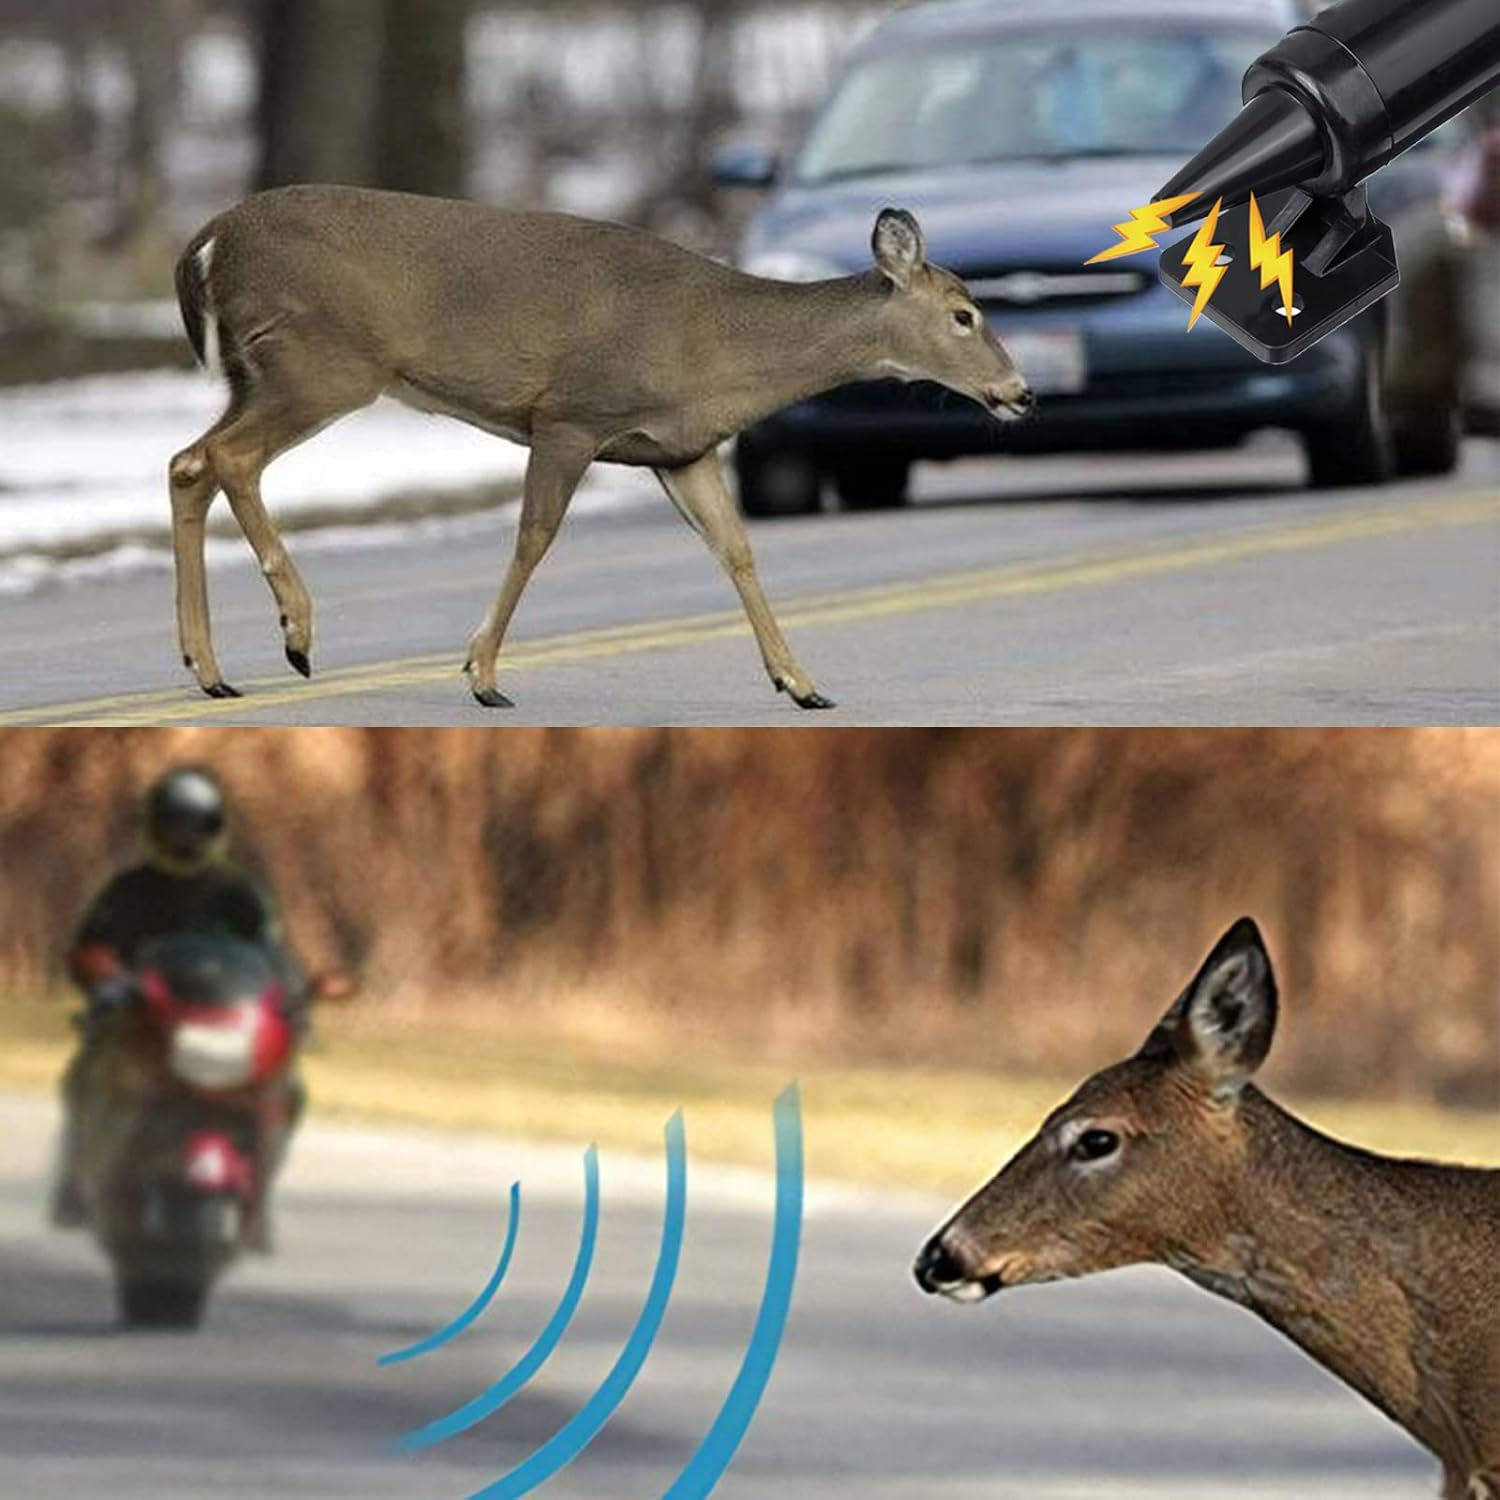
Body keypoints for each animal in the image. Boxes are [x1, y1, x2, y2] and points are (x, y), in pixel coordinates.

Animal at [166, 185, 1033, 707]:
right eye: (964, 315)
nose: (1019, 391)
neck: (715, 349)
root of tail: (207, 241)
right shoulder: (571, 416)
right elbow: (535, 536)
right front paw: (482, 673)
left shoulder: (681, 451)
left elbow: (738, 551)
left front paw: (800, 681)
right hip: (321, 364)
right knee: (228, 459)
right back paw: (295, 631)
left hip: (263, 376)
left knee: (188, 462)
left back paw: (208, 669)